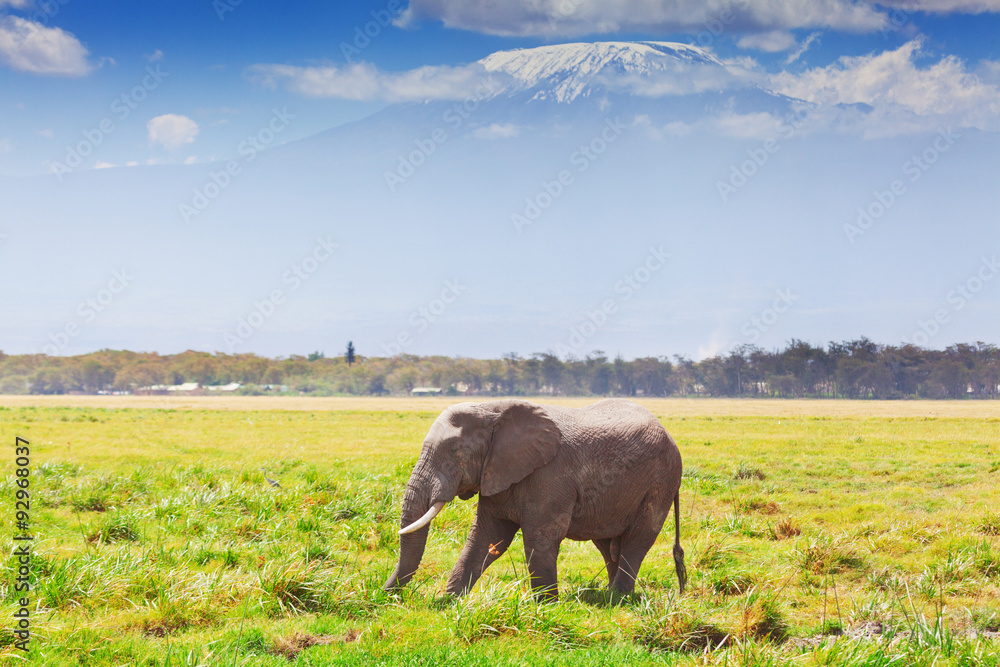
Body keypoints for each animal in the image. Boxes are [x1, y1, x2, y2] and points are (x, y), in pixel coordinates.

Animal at [383, 398, 686, 600]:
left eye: (454, 449)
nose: (386, 594)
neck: (492, 410)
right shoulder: (497, 472)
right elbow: (487, 537)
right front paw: (451, 602)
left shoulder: (549, 476)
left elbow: (539, 538)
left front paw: (545, 606)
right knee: (608, 543)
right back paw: (609, 596)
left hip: (660, 481)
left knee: (637, 539)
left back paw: (618, 599)